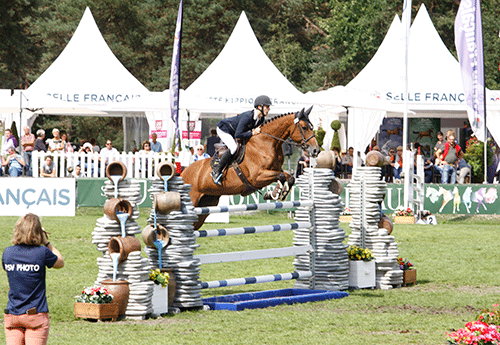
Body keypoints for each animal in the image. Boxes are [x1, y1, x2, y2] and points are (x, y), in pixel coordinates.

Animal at [183, 105, 320, 228]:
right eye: (304, 127)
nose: (316, 150)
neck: (267, 142)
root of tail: (184, 172)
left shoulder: (275, 170)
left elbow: (289, 177)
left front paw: (279, 193)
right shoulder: (257, 177)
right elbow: (281, 176)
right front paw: (275, 193)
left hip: (207, 202)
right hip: (193, 199)